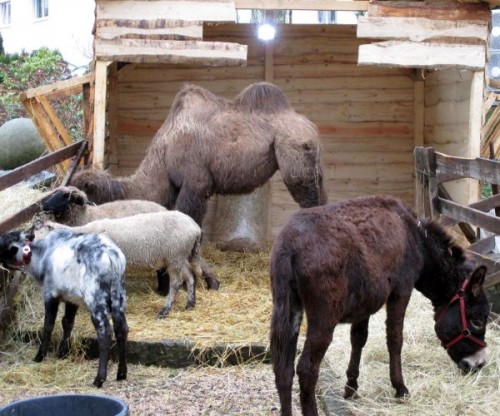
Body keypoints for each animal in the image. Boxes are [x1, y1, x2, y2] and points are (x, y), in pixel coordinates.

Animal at [0, 226, 129, 388]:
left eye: (2, 244)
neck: (40, 254)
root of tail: (111, 255)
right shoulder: (71, 298)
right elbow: (67, 323)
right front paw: (63, 353)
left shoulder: (50, 294)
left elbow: (48, 325)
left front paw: (40, 356)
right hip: (119, 293)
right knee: (122, 329)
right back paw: (122, 373)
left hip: (95, 297)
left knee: (105, 332)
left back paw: (99, 379)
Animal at [36, 211, 205, 318]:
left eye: (36, 233)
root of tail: (196, 228)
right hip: (180, 256)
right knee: (190, 277)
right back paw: (190, 304)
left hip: (175, 255)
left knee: (176, 283)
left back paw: (164, 311)